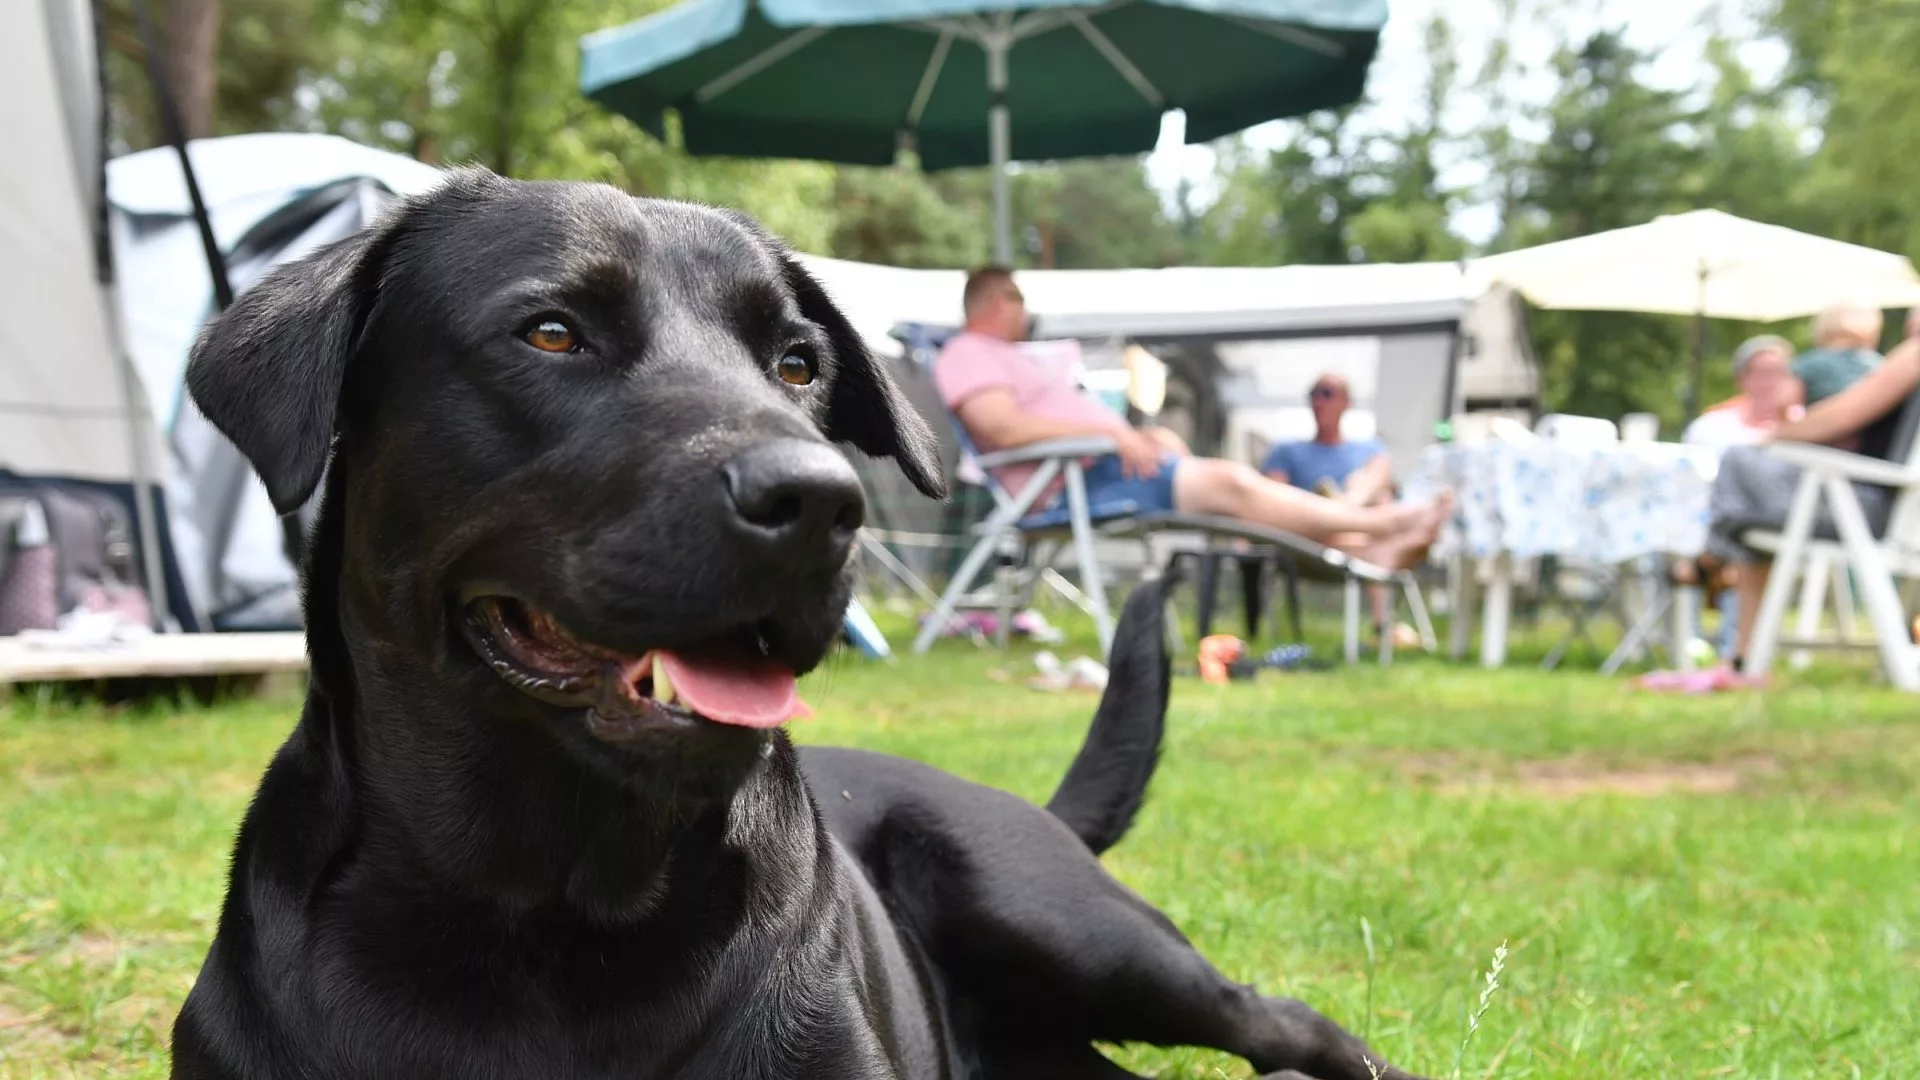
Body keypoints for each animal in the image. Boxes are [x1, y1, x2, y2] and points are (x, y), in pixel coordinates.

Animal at [172, 170, 1428, 1076]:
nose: (822, 502)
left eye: (796, 362)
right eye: (550, 332)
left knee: (1288, 1023)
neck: (543, 914)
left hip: (1067, 927)